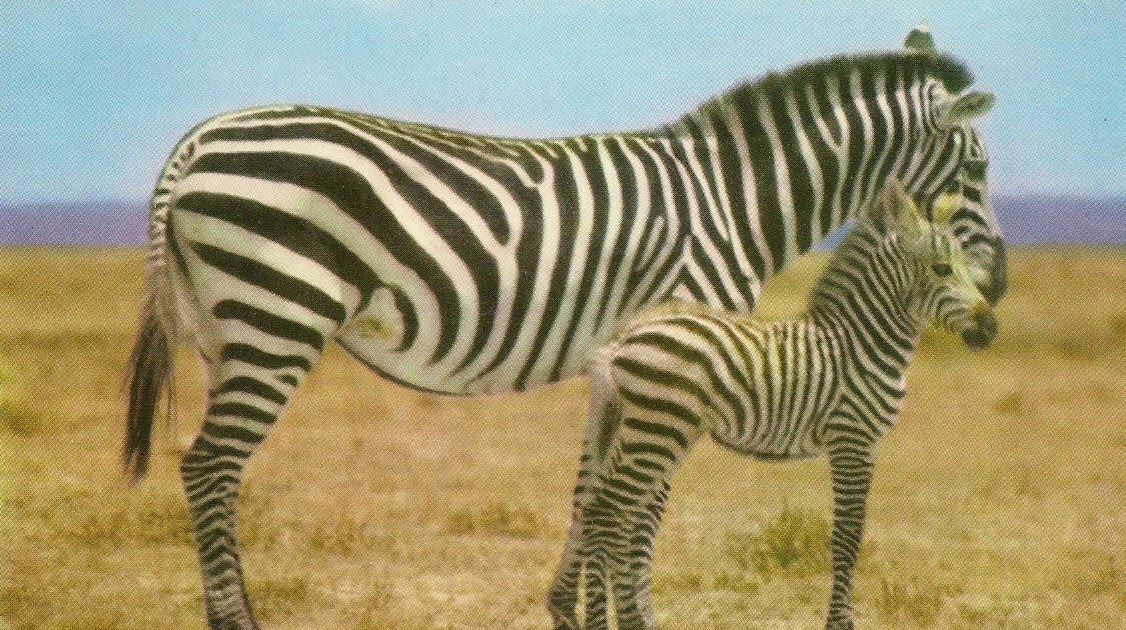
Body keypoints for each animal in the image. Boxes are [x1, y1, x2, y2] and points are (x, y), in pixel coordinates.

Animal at [549, 179, 997, 630]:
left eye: (965, 267)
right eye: (942, 269)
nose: (990, 328)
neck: (860, 342)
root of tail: (625, 335)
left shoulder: (864, 445)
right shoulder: (852, 440)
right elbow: (848, 536)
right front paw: (840, 624)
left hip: (633, 426)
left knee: (601, 514)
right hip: (657, 429)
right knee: (607, 516)